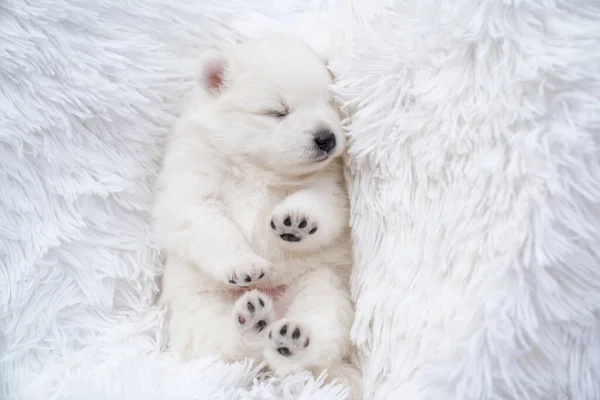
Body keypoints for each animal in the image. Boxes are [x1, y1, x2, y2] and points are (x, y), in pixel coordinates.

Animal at [155, 36, 360, 398]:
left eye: (330, 105)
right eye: (277, 110)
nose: (327, 137)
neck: (255, 167)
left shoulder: (327, 182)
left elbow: (324, 204)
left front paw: (295, 220)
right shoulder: (194, 180)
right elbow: (207, 223)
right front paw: (245, 265)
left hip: (318, 283)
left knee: (323, 324)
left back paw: (291, 338)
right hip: (199, 307)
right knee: (222, 347)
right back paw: (251, 322)